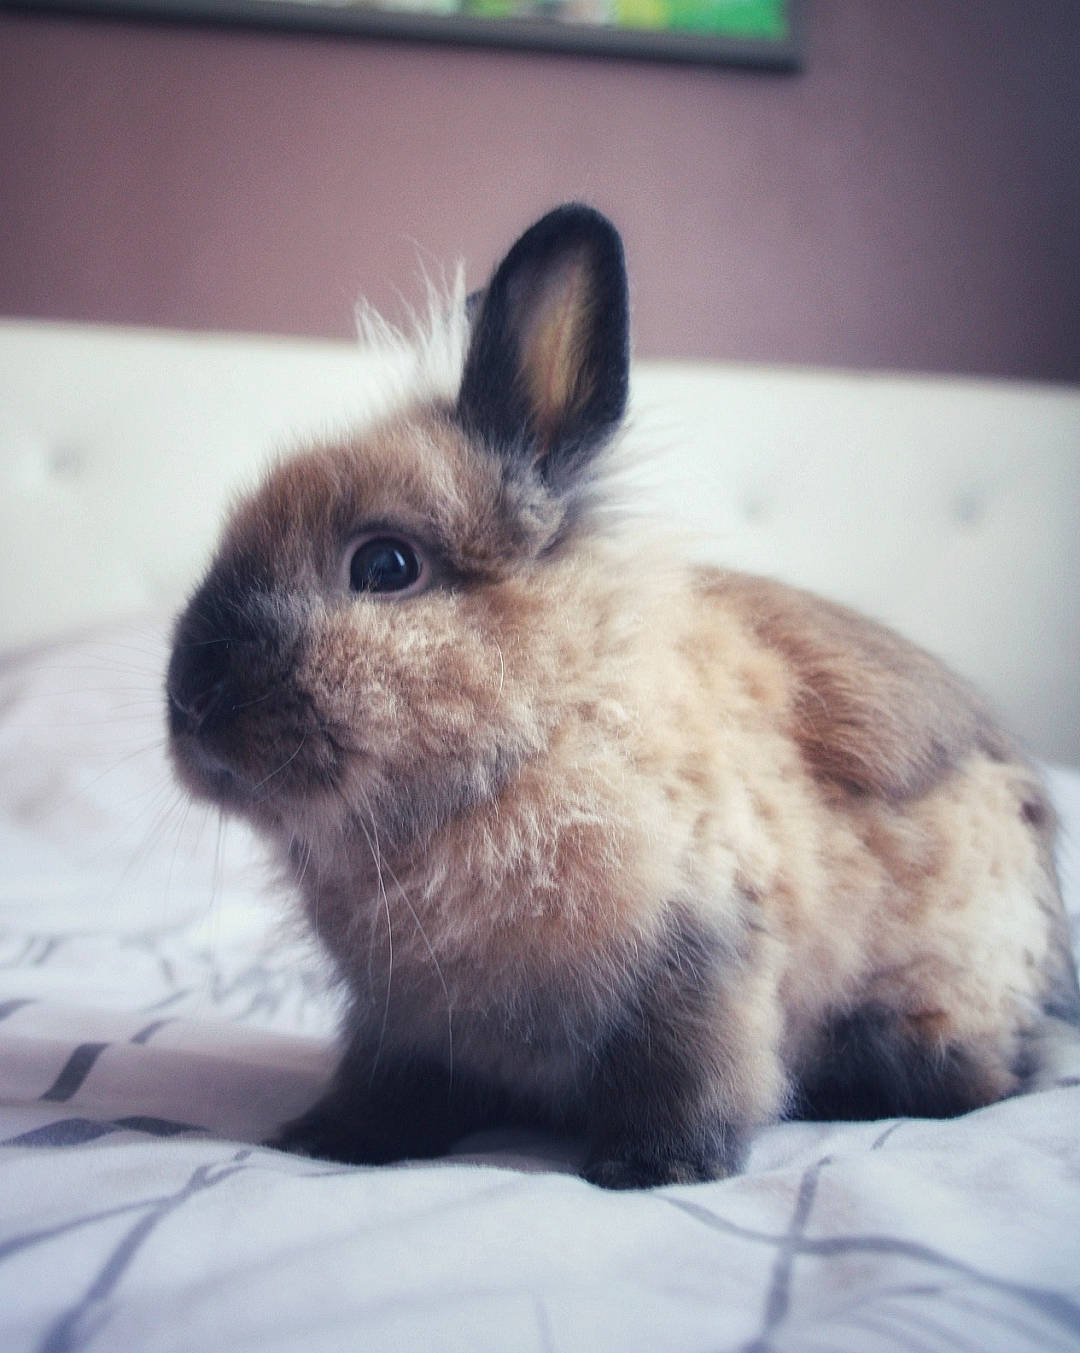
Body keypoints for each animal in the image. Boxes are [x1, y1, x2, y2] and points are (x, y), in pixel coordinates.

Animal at [166, 203, 1080, 1189]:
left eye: (384, 565)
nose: (191, 697)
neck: (530, 743)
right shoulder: (400, 1022)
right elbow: (387, 1090)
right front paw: (325, 1140)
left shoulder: (702, 965)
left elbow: (690, 1079)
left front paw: (653, 1169)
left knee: (994, 1075)